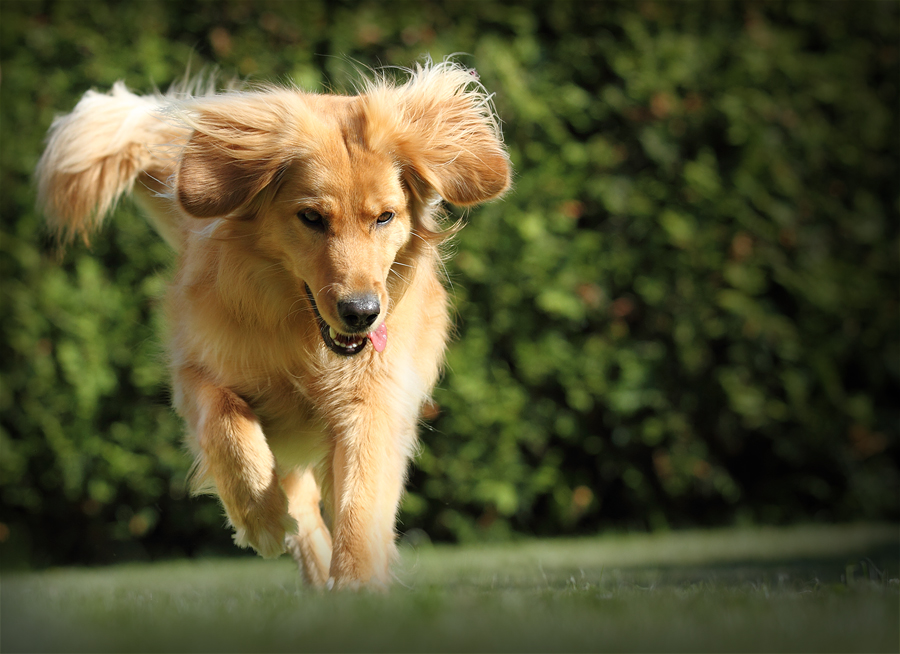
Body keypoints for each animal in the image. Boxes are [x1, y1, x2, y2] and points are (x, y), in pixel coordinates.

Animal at [35, 61, 510, 592]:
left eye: (386, 217)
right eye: (311, 217)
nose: (362, 312)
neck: (301, 339)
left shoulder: (374, 402)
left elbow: (360, 504)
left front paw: (357, 587)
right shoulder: (196, 372)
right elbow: (225, 422)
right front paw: (259, 518)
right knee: (297, 500)